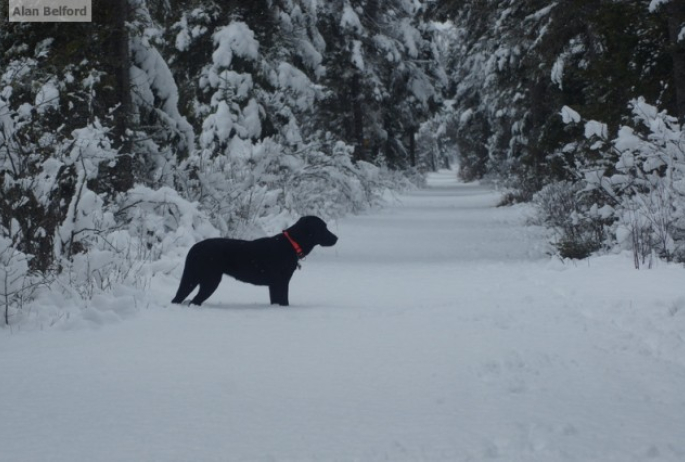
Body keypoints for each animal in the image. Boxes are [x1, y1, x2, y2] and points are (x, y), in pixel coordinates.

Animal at [171, 217, 336, 306]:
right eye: (323, 227)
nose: (336, 238)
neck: (291, 244)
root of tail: (195, 247)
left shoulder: (274, 285)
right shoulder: (281, 282)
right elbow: (284, 301)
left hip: (192, 278)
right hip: (210, 280)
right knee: (194, 301)